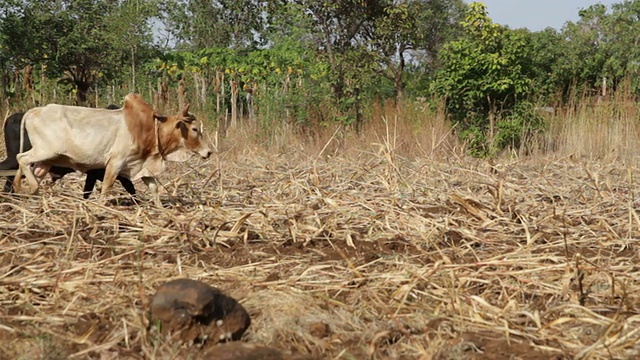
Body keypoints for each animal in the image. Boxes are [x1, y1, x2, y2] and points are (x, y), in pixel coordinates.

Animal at [14, 93, 212, 205]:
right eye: (195, 129)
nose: (209, 152)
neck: (151, 130)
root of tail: (34, 111)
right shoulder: (116, 161)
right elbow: (107, 187)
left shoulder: (142, 166)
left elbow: (154, 189)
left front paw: (160, 210)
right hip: (45, 150)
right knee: (21, 158)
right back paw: (30, 187)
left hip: (47, 160)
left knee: (30, 168)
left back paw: (21, 189)